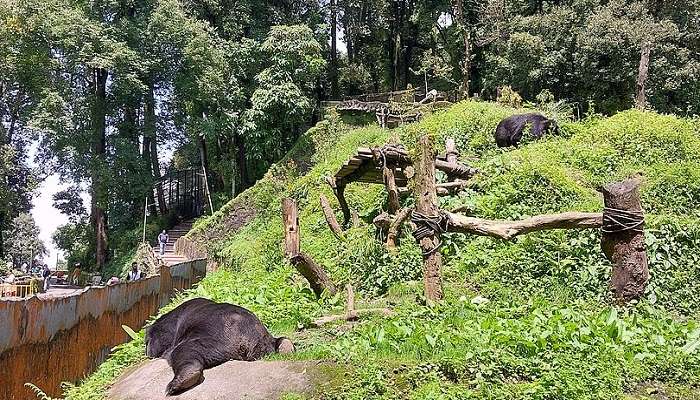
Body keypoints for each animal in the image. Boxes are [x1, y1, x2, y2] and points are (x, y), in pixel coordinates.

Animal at [145, 298, 292, 396]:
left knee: (185, 351)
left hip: (217, 339)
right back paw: (287, 347)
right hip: (264, 339)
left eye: (147, 343)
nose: (147, 351)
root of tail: (250, 338)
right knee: (278, 340)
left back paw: (179, 382)